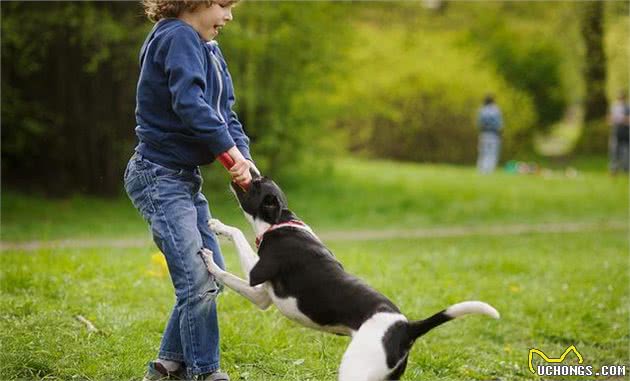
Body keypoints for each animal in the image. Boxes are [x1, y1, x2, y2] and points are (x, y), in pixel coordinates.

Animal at [201, 175, 498, 380]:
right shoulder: (261, 294)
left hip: (354, 369)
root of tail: (406, 328)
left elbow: (236, 243)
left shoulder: (256, 277)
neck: (280, 221)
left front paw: (212, 250)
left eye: (255, 184)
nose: (243, 172)